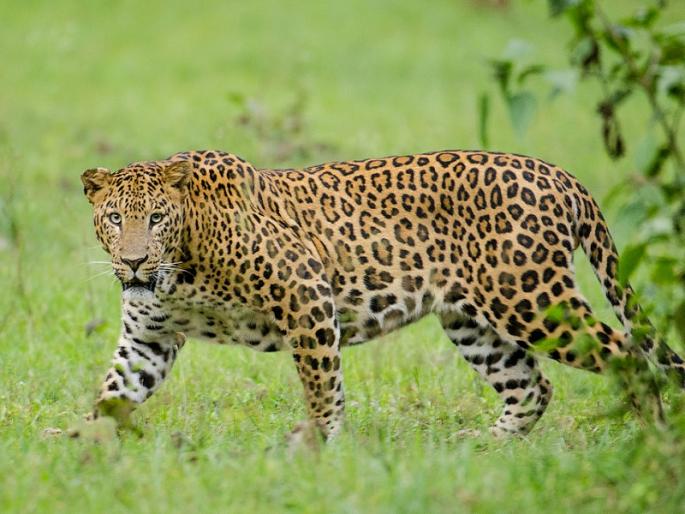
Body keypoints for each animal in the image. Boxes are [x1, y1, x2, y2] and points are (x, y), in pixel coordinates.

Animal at [81, 149, 685, 439]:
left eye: (156, 219)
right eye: (114, 219)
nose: (133, 261)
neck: (179, 268)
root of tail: (560, 175)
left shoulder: (306, 293)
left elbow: (322, 386)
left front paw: (317, 445)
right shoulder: (149, 339)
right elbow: (113, 392)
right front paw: (79, 448)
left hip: (530, 298)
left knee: (629, 355)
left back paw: (656, 440)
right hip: (473, 321)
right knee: (531, 386)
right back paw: (483, 446)